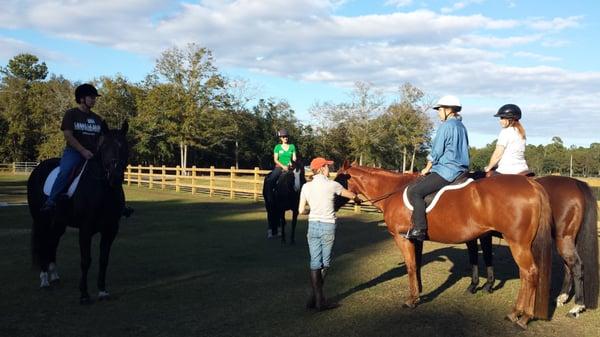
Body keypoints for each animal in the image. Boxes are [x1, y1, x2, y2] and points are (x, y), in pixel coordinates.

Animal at [28, 121, 129, 304]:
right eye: (104, 147)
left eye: (125, 146)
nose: (115, 176)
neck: (103, 190)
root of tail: (38, 168)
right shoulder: (86, 229)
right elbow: (85, 260)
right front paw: (84, 295)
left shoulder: (111, 230)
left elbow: (104, 260)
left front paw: (102, 291)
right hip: (41, 221)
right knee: (43, 244)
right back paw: (44, 279)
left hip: (58, 223)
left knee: (52, 243)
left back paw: (54, 275)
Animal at [336, 163, 552, 328]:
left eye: (338, 179)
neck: (393, 190)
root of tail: (530, 184)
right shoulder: (415, 239)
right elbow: (417, 264)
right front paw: (419, 293)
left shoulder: (402, 238)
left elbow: (410, 266)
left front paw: (411, 299)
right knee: (527, 275)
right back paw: (518, 313)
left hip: (518, 244)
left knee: (530, 273)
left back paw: (521, 316)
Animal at [466, 175, 596, 316]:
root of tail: (576, 183)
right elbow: (487, 257)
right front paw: (487, 284)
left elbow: (476, 257)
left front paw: (475, 285)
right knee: (568, 267)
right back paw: (561, 298)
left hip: (563, 239)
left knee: (576, 266)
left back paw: (577, 306)